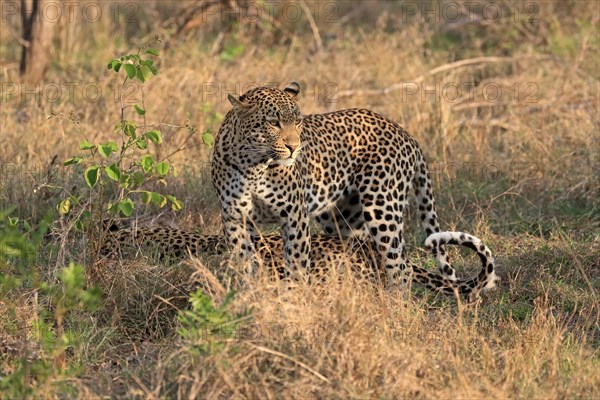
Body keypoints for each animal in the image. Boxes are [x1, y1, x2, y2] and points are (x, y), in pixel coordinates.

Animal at [211, 83, 464, 286]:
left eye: (298, 121)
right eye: (273, 123)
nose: (295, 147)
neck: (252, 165)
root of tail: (405, 133)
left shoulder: (294, 217)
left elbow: (296, 264)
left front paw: (294, 297)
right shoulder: (235, 219)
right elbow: (244, 262)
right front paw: (249, 294)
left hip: (382, 207)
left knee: (400, 267)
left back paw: (395, 307)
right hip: (341, 219)